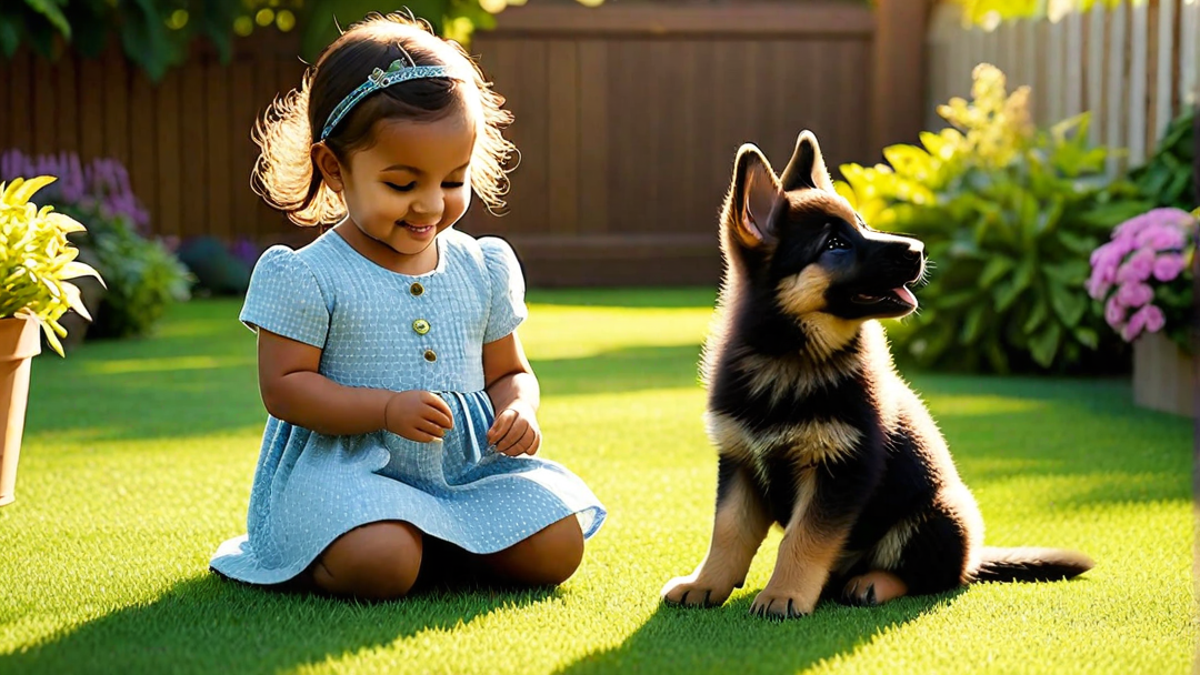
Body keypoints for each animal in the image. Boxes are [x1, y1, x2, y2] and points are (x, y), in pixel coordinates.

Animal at [662, 128, 1094, 619]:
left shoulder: (840, 469)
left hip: (936, 515)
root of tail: (975, 556)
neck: (788, 356)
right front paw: (705, 584)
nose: (919, 249)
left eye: (863, 224)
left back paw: (872, 583)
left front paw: (783, 594)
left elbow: (803, 540)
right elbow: (728, 532)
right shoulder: (739, 462)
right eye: (836, 244)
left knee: (933, 577)